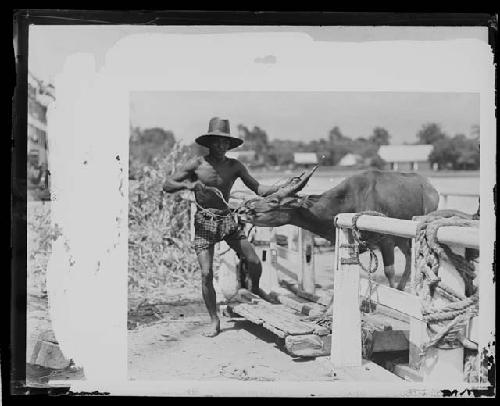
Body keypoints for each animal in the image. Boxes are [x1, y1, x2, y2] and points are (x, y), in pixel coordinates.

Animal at [237, 169, 438, 292]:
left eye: (273, 201)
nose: (244, 211)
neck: (349, 199)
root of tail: (430, 188)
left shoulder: (386, 242)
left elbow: (389, 272)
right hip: (403, 239)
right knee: (410, 256)